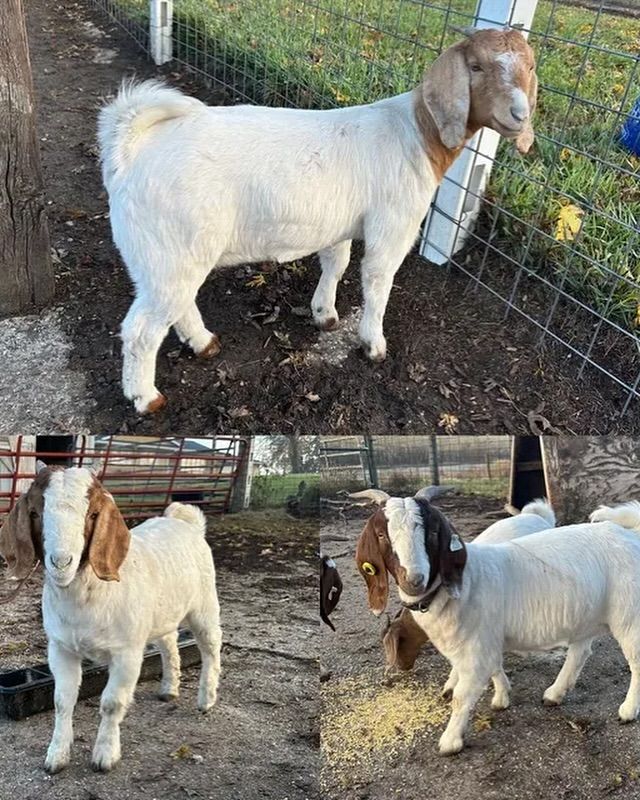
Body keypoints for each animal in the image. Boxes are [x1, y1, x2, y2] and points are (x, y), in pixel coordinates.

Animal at [0, 466, 222, 774]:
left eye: (93, 514)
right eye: (35, 512)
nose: (61, 563)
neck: (87, 595)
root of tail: (185, 522)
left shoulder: (127, 653)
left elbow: (112, 703)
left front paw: (105, 755)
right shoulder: (61, 648)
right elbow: (62, 701)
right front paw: (56, 756)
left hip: (204, 604)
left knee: (211, 648)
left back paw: (206, 699)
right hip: (161, 614)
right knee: (169, 643)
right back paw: (169, 688)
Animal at [98, 27, 538, 413]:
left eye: (531, 66)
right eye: (476, 67)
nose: (519, 113)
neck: (416, 133)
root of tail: (131, 149)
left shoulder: (339, 225)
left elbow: (336, 263)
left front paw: (325, 314)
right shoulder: (394, 224)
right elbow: (378, 283)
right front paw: (374, 345)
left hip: (171, 256)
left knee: (178, 304)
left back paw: (203, 343)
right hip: (170, 249)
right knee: (141, 330)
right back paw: (146, 398)